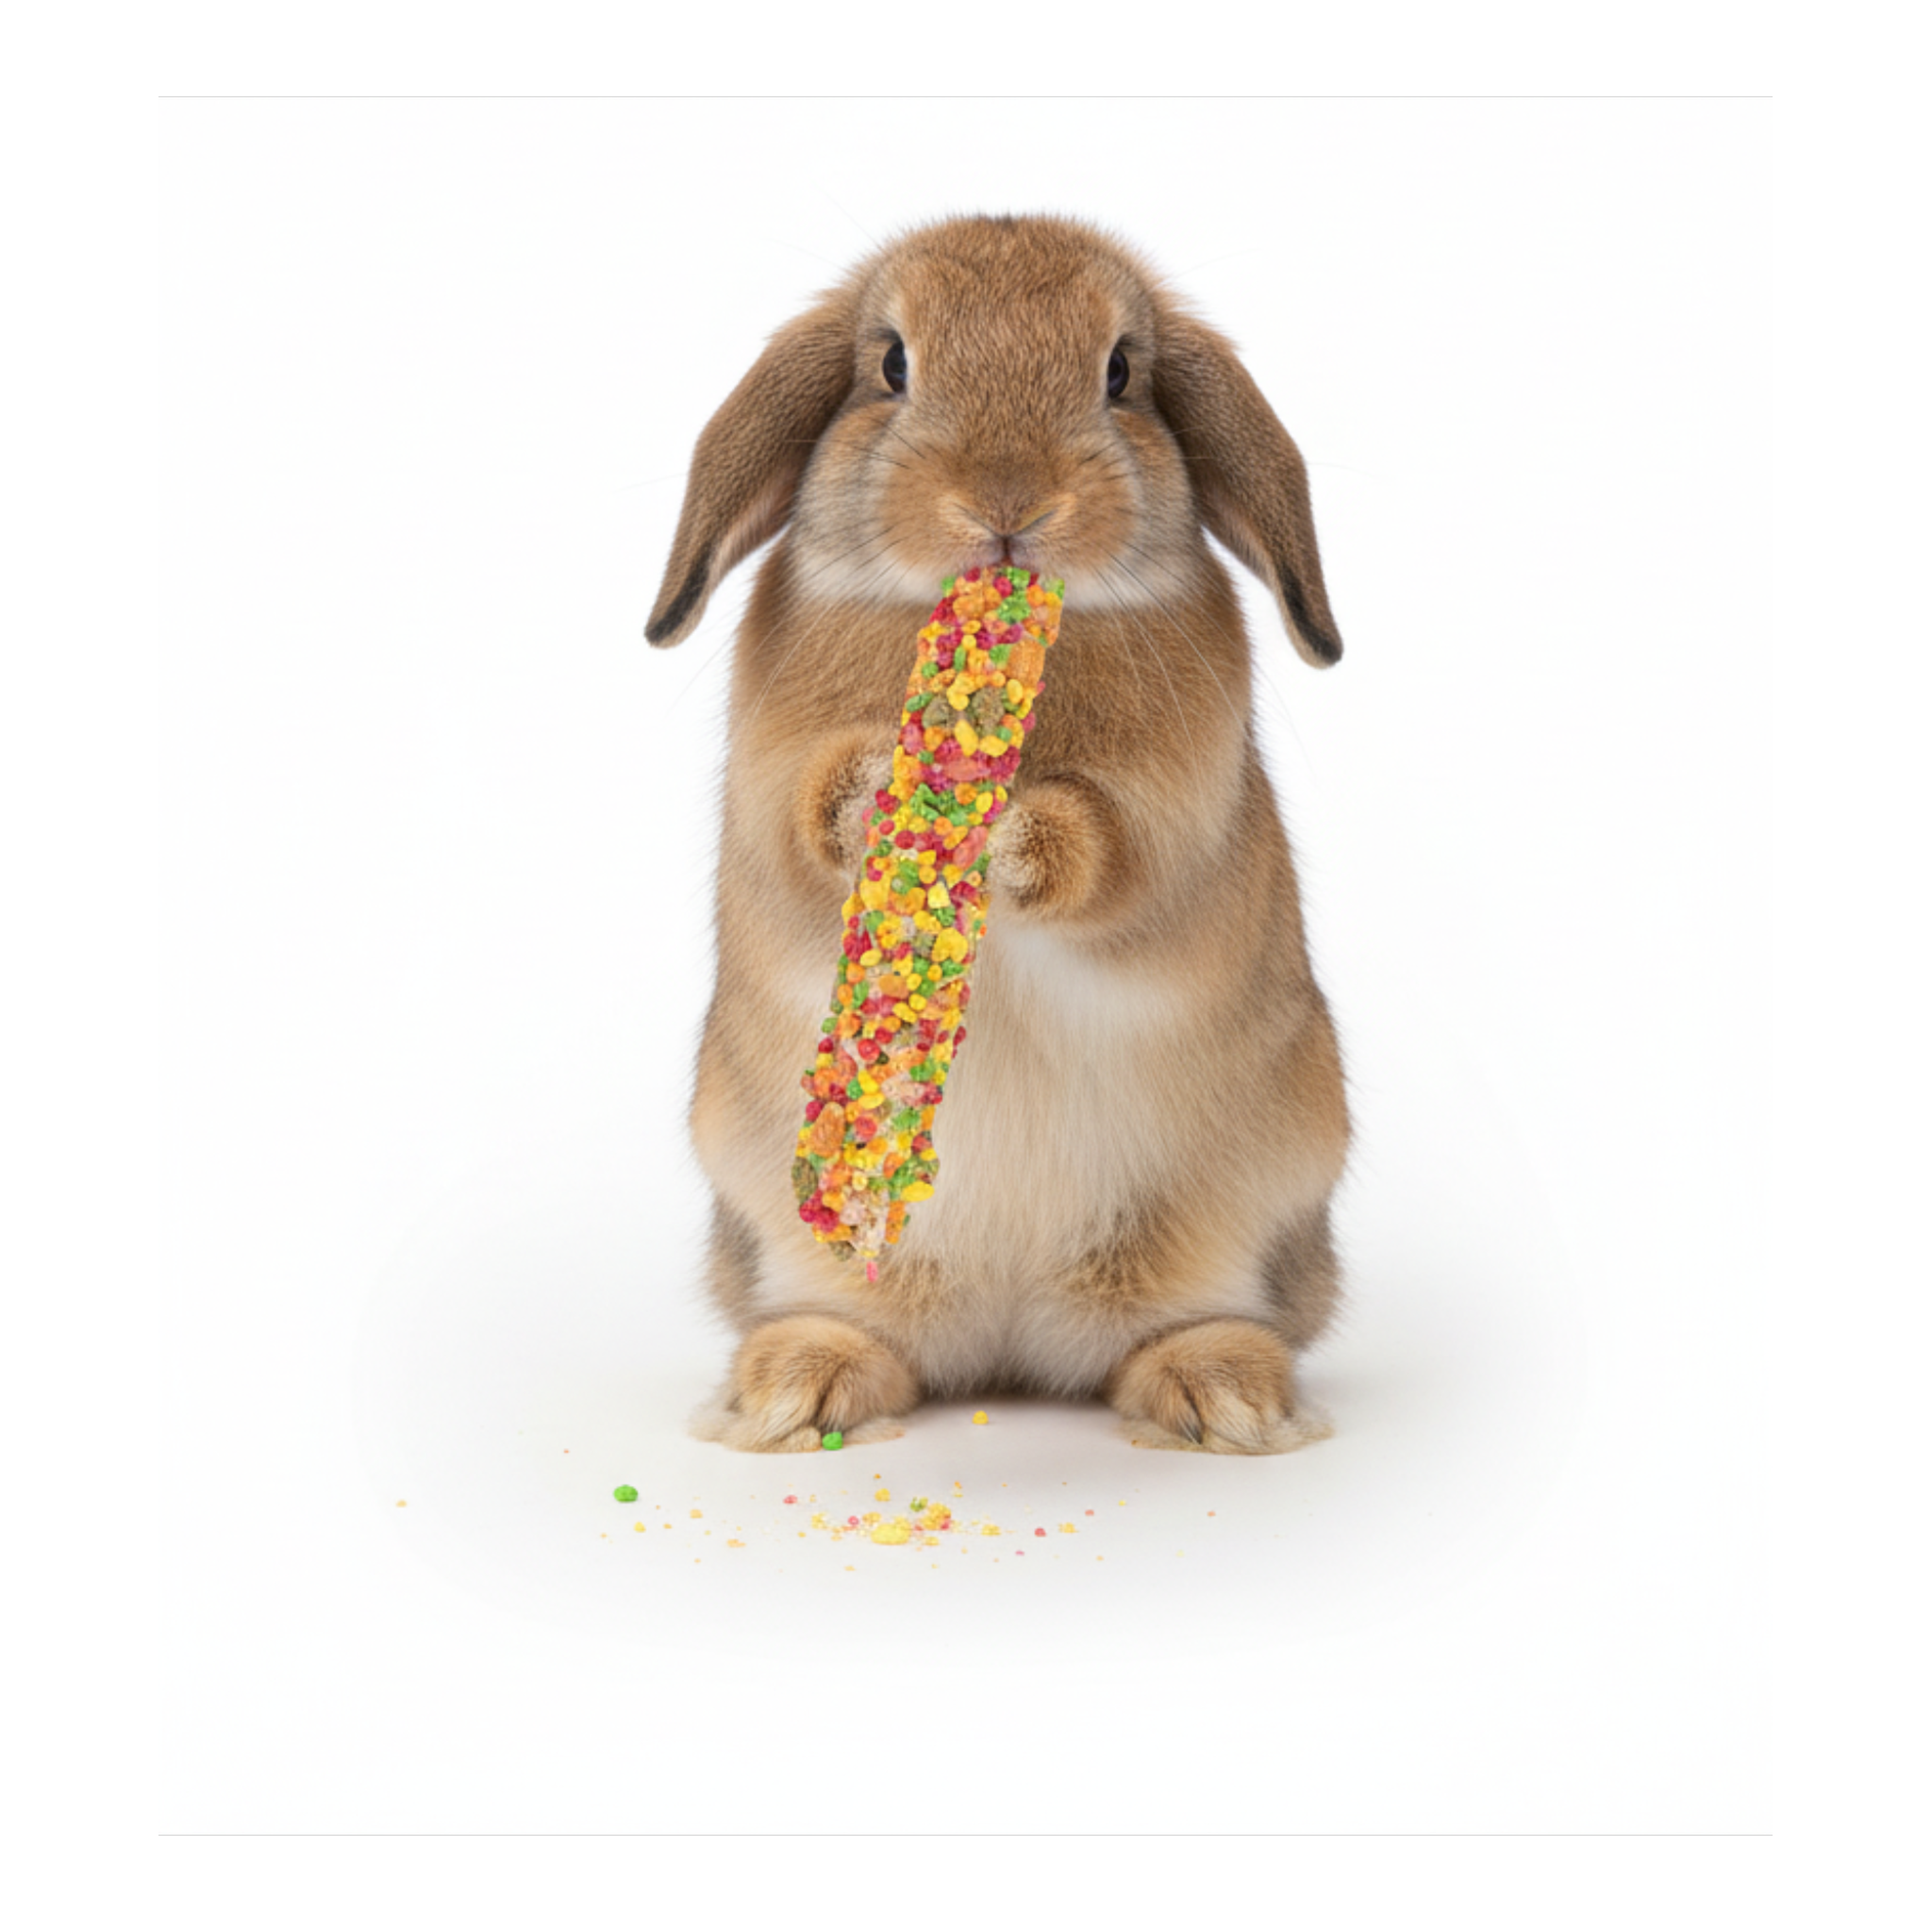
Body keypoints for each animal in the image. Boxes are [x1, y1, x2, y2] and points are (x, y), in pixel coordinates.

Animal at [646, 214, 1349, 1455]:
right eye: (890, 364)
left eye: (1120, 373)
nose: (1005, 501)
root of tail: (1011, 1335)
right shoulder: (769, 779)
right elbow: (799, 814)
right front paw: (876, 792)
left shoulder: (1170, 806)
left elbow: (1108, 851)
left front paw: (1007, 833)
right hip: (787, 1222)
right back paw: (794, 1390)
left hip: (1248, 1207)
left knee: (1192, 1320)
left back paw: (1223, 1397)